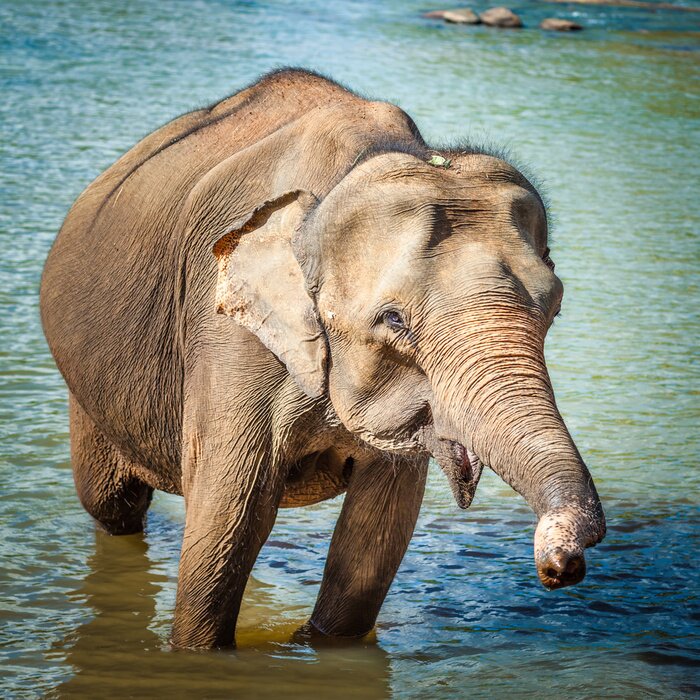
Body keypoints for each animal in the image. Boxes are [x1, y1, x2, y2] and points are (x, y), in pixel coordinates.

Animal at [40, 68, 606, 649]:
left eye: (555, 307)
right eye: (394, 320)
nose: (560, 565)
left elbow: (376, 534)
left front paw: (316, 645)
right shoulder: (226, 336)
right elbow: (228, 521)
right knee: (112, 504)